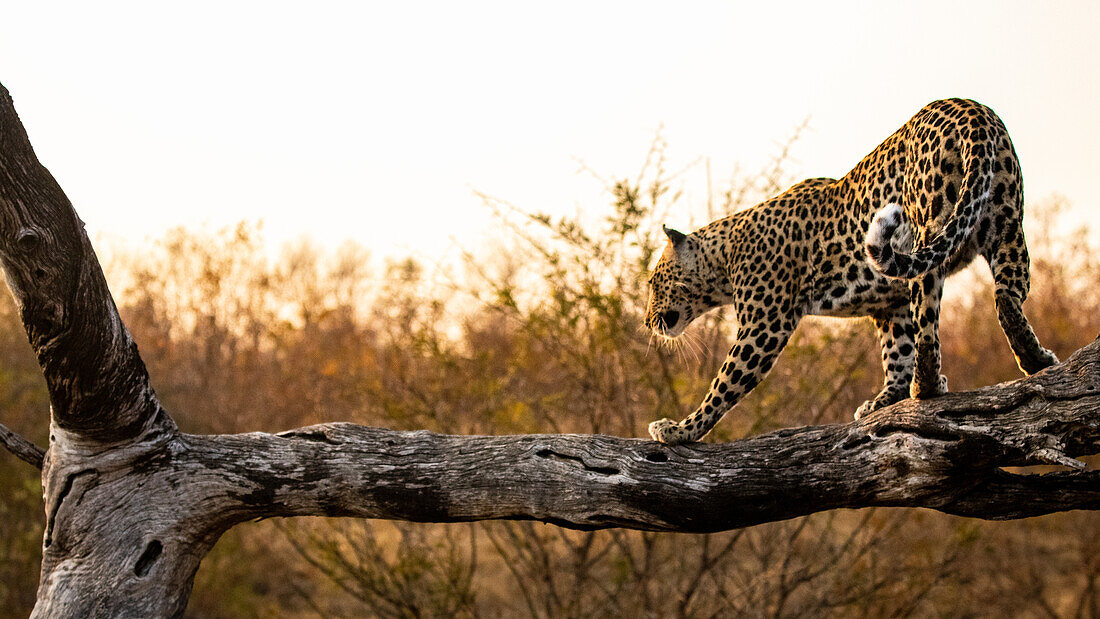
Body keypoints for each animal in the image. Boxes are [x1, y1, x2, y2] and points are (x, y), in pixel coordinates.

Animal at [642, 96, 1056, 446]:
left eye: (652, 283)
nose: (646, 322)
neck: (725, 259)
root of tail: (972, 111)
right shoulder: (890, 305)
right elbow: (897, 351)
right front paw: (884, 401)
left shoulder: (764, 326)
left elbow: (723, 385)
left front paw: (680, 430)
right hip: (1006, 222)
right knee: (1006, 296)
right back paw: (1036, 360)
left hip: (930, 227)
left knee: (931, 320)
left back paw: (928, 386)